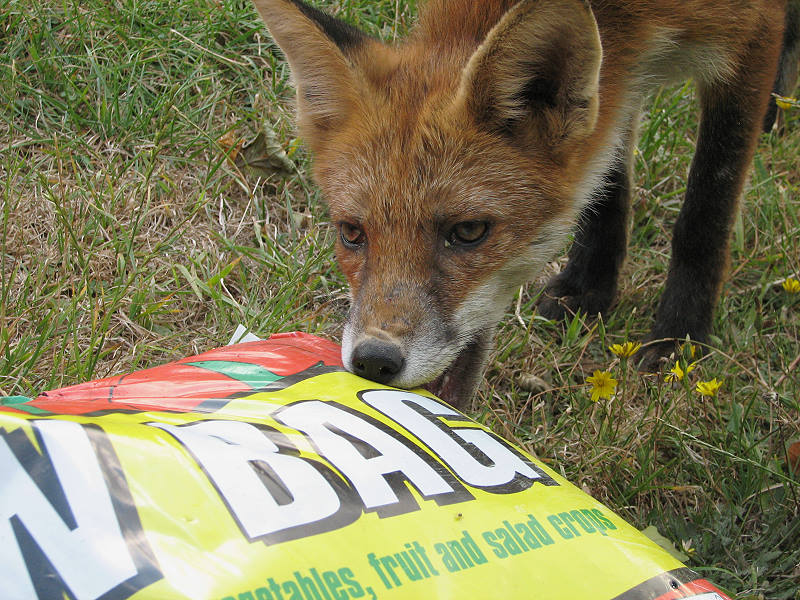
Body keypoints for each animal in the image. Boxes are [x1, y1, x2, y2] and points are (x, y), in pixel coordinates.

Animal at [251, 0, 799, 409]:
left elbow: (706, 210)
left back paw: (778, 107)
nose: (373, 361)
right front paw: (589, 288)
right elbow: (608, 186)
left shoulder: (750, 36)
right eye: (351, 233)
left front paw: (680, 338)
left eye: (469, 231)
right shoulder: (619, 80)